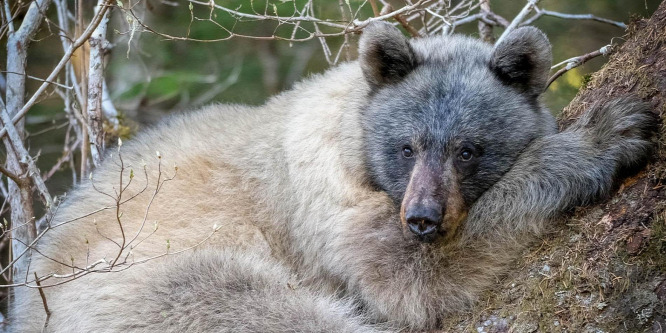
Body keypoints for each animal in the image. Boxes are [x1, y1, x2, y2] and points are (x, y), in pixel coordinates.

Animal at [10, 22, 652, 330]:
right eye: (406, 146)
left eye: (469, 149)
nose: (423, 219)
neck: (353, 138)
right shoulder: (325, 202)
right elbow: (412, 280)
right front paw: (605, 134)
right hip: (143, 287)